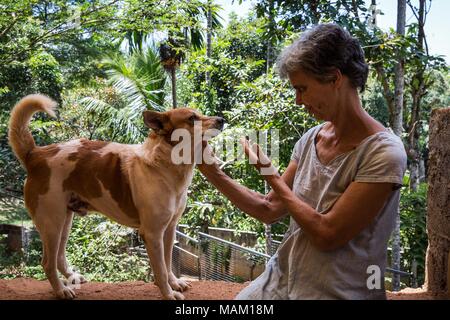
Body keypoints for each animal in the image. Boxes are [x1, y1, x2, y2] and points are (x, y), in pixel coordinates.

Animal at [7, 94, 224, 300]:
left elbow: (168, 262)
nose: (222, 119)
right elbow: (161, 270)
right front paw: (168, 293)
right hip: (52, 221)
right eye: (192, 118)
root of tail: (36, 154)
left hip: (65, 220)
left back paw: (71, 278)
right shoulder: (152, 233)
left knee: (59, 257)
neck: (165, 165)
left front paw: (174, 283)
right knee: (47, 262)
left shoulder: (169, 229)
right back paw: (61, 290)